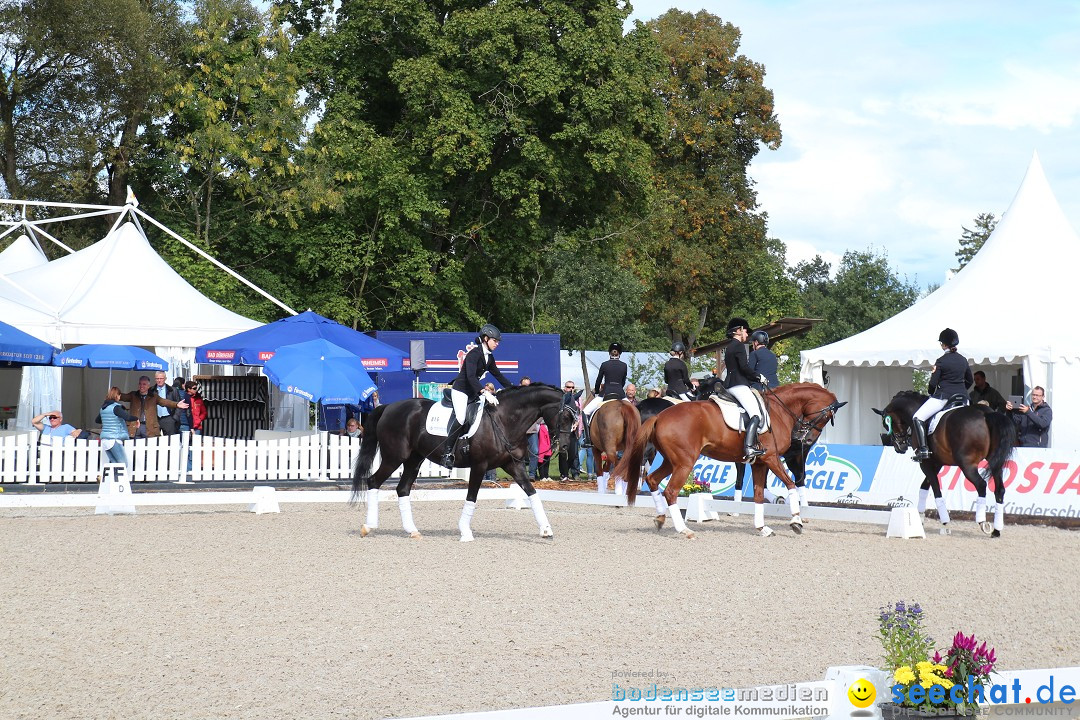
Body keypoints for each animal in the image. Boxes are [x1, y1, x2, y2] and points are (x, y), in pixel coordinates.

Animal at [352, 382, 574, 539]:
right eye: (565, 416)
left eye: (574, 418)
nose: (564, 447)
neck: (504, 420)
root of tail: (389, 407)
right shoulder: (479, 466)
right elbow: (471, 497)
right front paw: (465, 532)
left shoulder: (514, 465)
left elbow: (532, 493)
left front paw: (546, 529)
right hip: (394, 457)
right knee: (373, 481)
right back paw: (368, 527)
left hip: (414, 460)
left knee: (402, 489)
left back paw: (412, 530)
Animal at [609, 386, 842, 537]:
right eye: (826, 416)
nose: (807, 440)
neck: (778, 410)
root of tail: (659, 416)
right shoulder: (772, 458)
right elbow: (791, 485)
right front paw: (796, 521)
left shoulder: (760, 463)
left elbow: (759, 495)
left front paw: (762, 528)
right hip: (684, 463)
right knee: (671, 491)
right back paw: (684, 530)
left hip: (671, 460)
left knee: (652, 480)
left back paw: (660, 518)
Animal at [872, 390, 1015, 537]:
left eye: (886, 423)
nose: (900, 447)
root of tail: (985, 413)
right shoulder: (937, 463)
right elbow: (924, 487)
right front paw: (920, 518)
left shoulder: (925, 463)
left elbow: (936, 490)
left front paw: (945, 522)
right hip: (995, 462)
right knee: (999, 490)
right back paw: (996, 530)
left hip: (967, 464)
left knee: (981, 485)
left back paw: (982, 522)